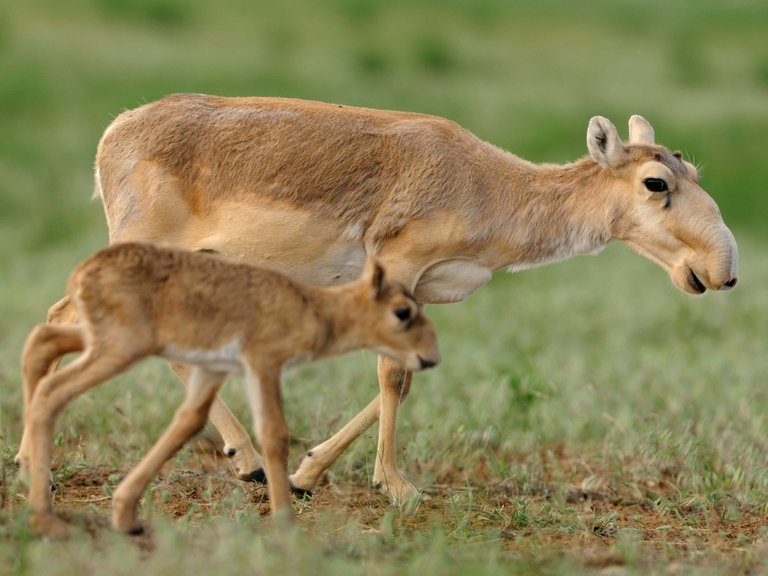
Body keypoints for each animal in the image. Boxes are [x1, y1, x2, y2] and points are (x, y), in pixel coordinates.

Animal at [18, 242, 438, 536]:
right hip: (118, 350)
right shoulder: (263, 365)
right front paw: (286, 521)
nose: (431, 357)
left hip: (103, 342)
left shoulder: (214, 371)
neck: (312, 306)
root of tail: (86, 270)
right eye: (403, 312)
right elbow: (275, 434)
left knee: (42, 341)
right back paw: (46, 516)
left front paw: (124, 514)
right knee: (52, 389)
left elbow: (188, 422)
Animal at [40, 94, 736, 504]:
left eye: (693, 171)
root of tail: (113, 133)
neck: (490, 185)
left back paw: (252, 465)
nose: (722, 271)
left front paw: (306, 472)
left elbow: (409, 375)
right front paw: (396, 486)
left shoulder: (422, 292)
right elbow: (391, 375)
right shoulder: (396, 269)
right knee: (67, 319)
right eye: (656, 182)